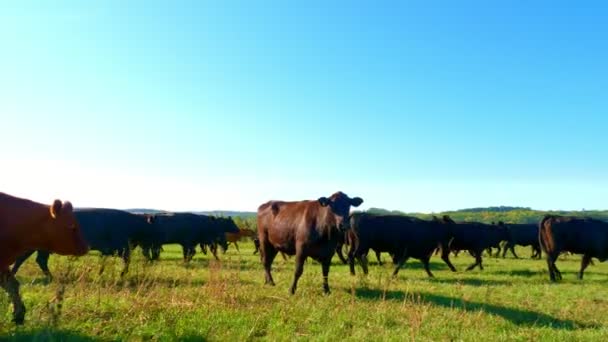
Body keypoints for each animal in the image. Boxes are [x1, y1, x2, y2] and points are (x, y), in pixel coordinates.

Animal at [12, 208, 156, 278]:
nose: (153, 253)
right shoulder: (121, 248)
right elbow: (126, 261)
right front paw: (122, 274)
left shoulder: (108, 250)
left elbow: (104, 261)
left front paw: (101, 273)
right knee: (36, 260)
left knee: (30, 259)